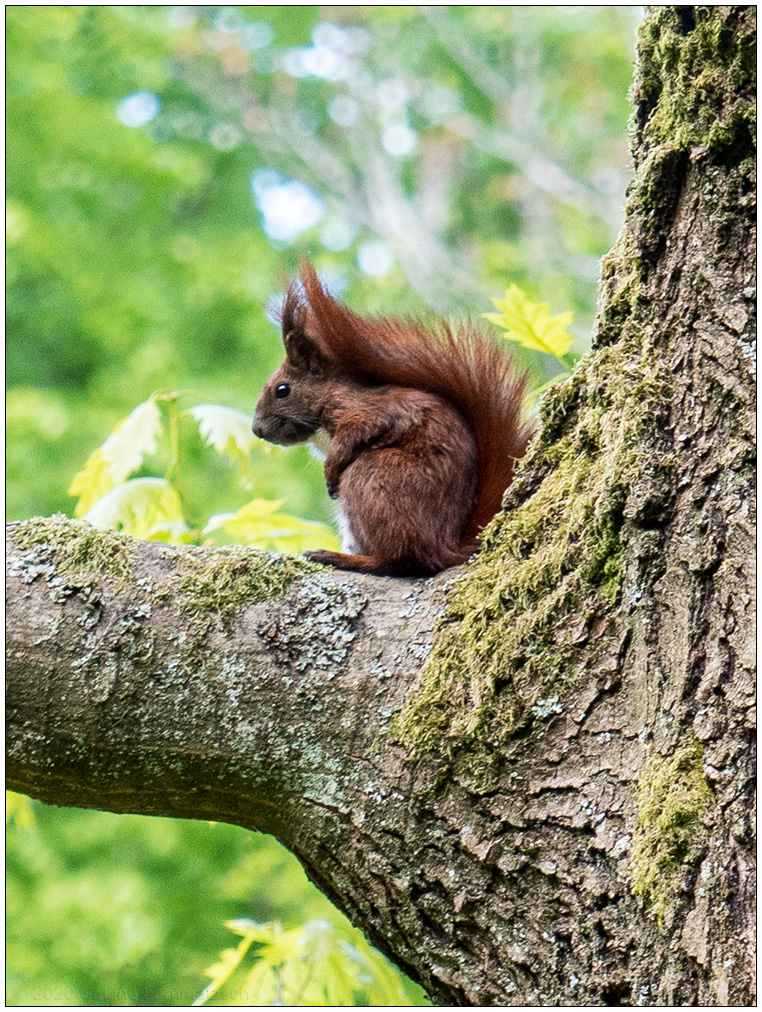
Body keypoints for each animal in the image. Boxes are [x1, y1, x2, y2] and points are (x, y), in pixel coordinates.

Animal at [252, 262, 534, 576]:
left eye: (282, 390)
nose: (257, 430)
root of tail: (446, 545)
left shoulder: (366, 409)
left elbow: (360, 431)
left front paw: (330, 468)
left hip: (374, 479)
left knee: (404, 559)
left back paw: (343, 558)